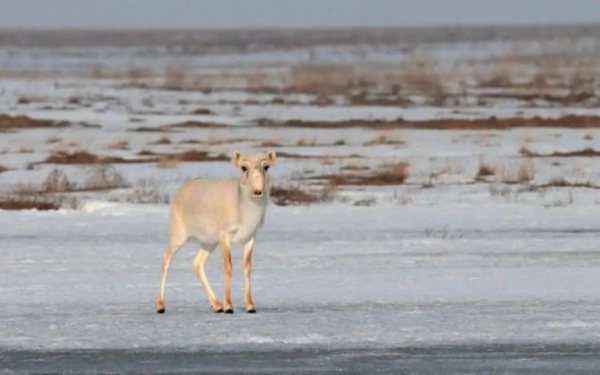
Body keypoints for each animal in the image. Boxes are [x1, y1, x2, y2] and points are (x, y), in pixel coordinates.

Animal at [155, 151, 276, 316]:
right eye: (243, 167)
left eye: (266, 166)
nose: (257, 191)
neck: (243, 208)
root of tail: (181, 189)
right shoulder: (224, 237)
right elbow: (228, 267)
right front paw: (229, 306)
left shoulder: (250, 238)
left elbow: (247, 267)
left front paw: (250, 306)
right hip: (178, 236)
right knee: (166, 261)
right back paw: (160, 306)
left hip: (208, 243)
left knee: (197, 263)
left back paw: (217, 305)